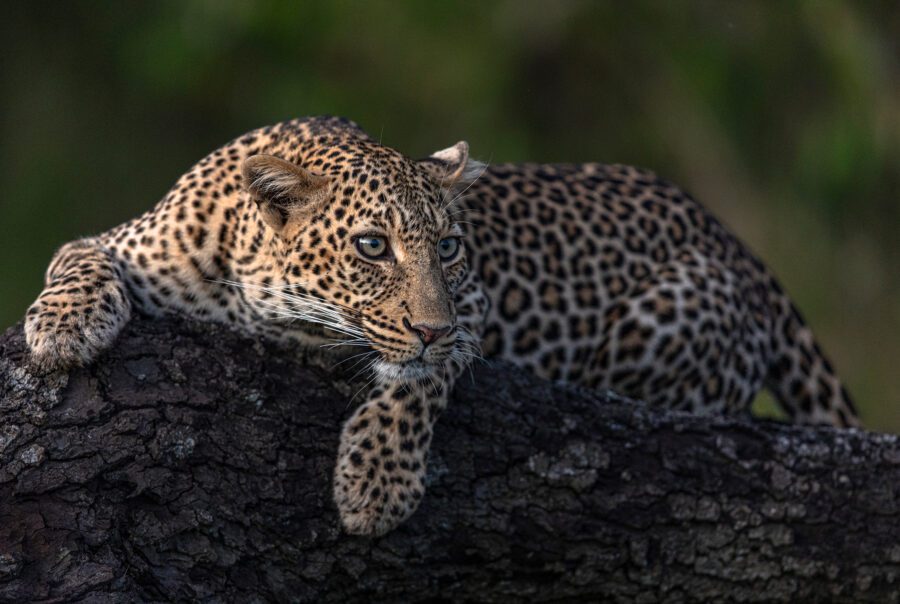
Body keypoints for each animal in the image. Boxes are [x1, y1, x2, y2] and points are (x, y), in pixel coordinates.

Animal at [23, 116, 858, 536]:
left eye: (450, 247)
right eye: (372, 247)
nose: (427, 325)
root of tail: (735, 242)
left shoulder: (470, 311)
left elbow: (415, 385)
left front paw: (375, 486)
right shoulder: (121, 242)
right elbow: (74, 258)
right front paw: (63, 329)